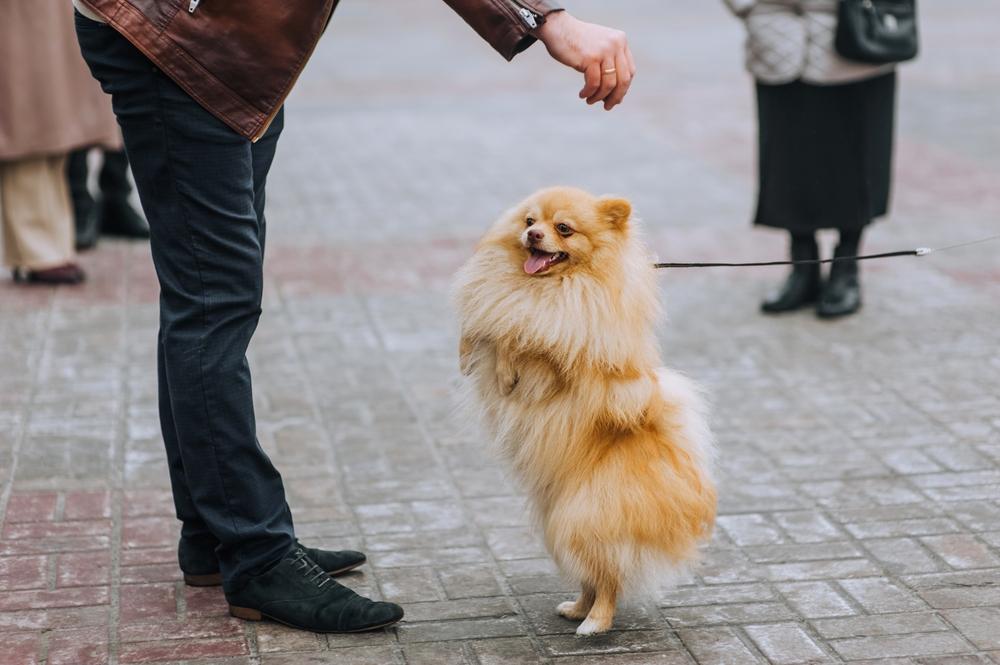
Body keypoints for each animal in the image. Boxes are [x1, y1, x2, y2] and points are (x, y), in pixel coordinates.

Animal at [454, 185, 720, 632]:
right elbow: (500, 330)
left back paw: (595, 622)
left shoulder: (579, 355)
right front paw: (498, 369)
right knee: (592, 574)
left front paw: (516, 368)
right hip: (559, 522)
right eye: (530, 221)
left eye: (563, 228)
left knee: (609, 575)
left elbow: (533, 343)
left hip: (584, 517)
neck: (553, 286)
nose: (533, 235)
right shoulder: (505, 313)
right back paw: (577, 608)